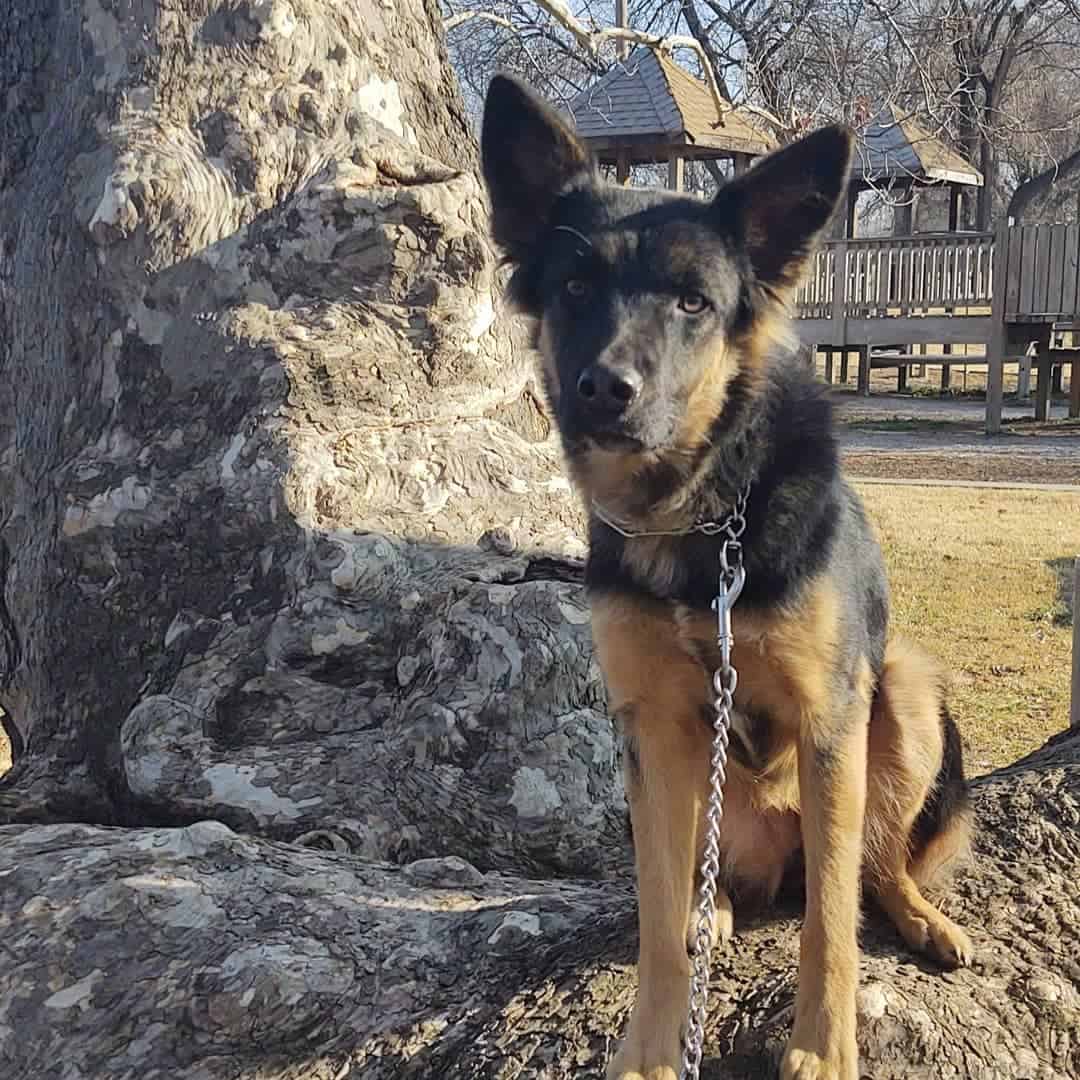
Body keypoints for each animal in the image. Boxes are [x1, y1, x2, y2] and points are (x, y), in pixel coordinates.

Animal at [481, 76, 972, 1080]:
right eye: (575, 287)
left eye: (693, 303)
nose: (606, 389)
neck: (704, 522)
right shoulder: (653, 726)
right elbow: (658, 926)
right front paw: (649, 1049)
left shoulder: (830, 721)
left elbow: (830, 928)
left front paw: (824, 1050)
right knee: (716, 891)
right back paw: (719, 909)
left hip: (900, 696)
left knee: (872, 868)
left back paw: (921, 916)